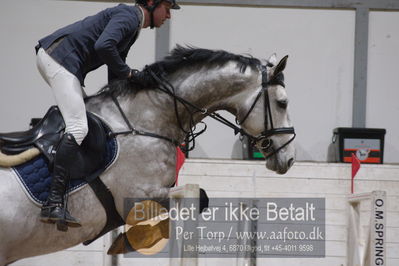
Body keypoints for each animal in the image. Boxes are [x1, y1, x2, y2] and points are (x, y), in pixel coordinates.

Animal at [0, 45, 296, 264]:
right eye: (282, 103)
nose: (290, 158)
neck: (144, 120)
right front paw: (136, 240)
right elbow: (198, 197)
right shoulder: (139, 194)